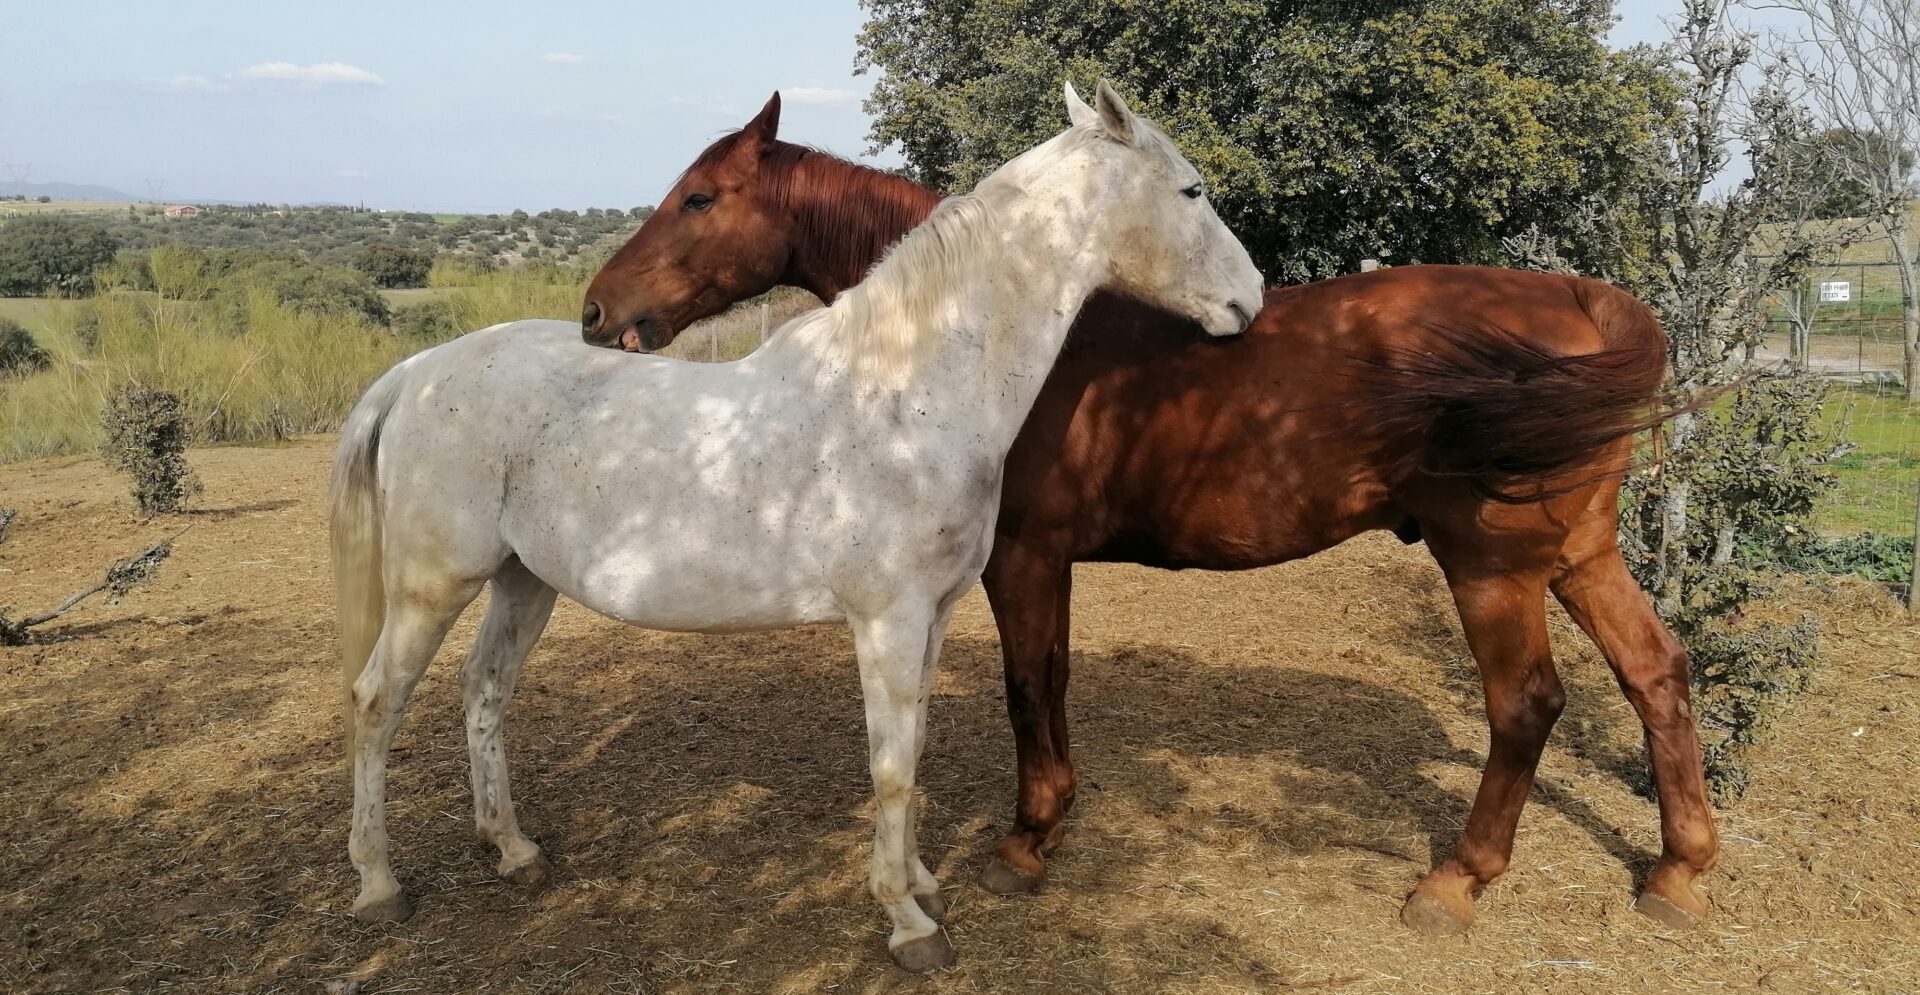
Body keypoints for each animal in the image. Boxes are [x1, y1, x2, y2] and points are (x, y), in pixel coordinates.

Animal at [334, 82, 1259, 971]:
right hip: (431, 586)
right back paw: (378, 883)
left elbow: (915, 749)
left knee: (484, 689)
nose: (1249, 299)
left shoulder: (935, 616)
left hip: (523, 581)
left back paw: (514, 851)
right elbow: (891, 769)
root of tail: (416, 372)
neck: (906, 392)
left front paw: (923, 881)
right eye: (1192, 189)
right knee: (378, 699)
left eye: (700, 196)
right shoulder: (887, 621)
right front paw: (907, 923)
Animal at [576, 93, 1720, 937]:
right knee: (1655, 669)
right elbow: (1051, 683)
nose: (596, 310)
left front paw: (1028, 837)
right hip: (1581, 554)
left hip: (1491, 566)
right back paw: (1679, 868)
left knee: (1526, 704)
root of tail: (1582, 298)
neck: (1002, 335)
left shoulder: (1024, 558)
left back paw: (1457, 879)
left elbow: (1028, 687)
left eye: (700, 198)